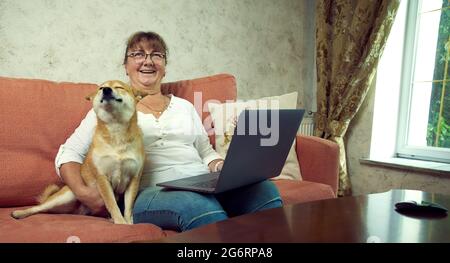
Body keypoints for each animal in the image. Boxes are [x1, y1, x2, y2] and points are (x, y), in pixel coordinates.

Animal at [11, 80, 144, 225]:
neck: (116, 129)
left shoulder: (134, 178)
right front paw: (120, 222)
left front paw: (129, 223)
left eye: (119, 87)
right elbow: (112, 204)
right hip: (66, 196)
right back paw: (19, 213)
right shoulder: (102, 177)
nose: (106, 90)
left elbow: (128, 207)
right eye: (101, 88)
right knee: (39, 207)